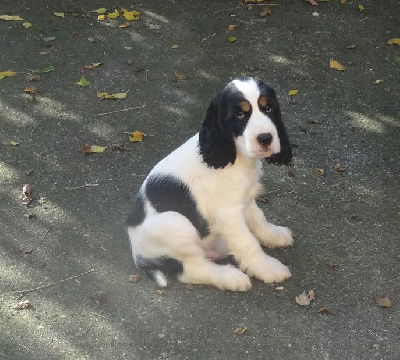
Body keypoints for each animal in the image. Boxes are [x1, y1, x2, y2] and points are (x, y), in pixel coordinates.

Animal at [128, 77, 294, 292]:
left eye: (269, 108)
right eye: (240, 114)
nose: (265, 138)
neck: (235, 156)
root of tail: (137, 255)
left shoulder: (245, 199)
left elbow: (258, 218)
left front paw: (274, 235)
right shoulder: (229, 215)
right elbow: (248, 242)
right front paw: (268, 268)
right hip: (177, 224)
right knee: (190, 270)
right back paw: (230, 277)